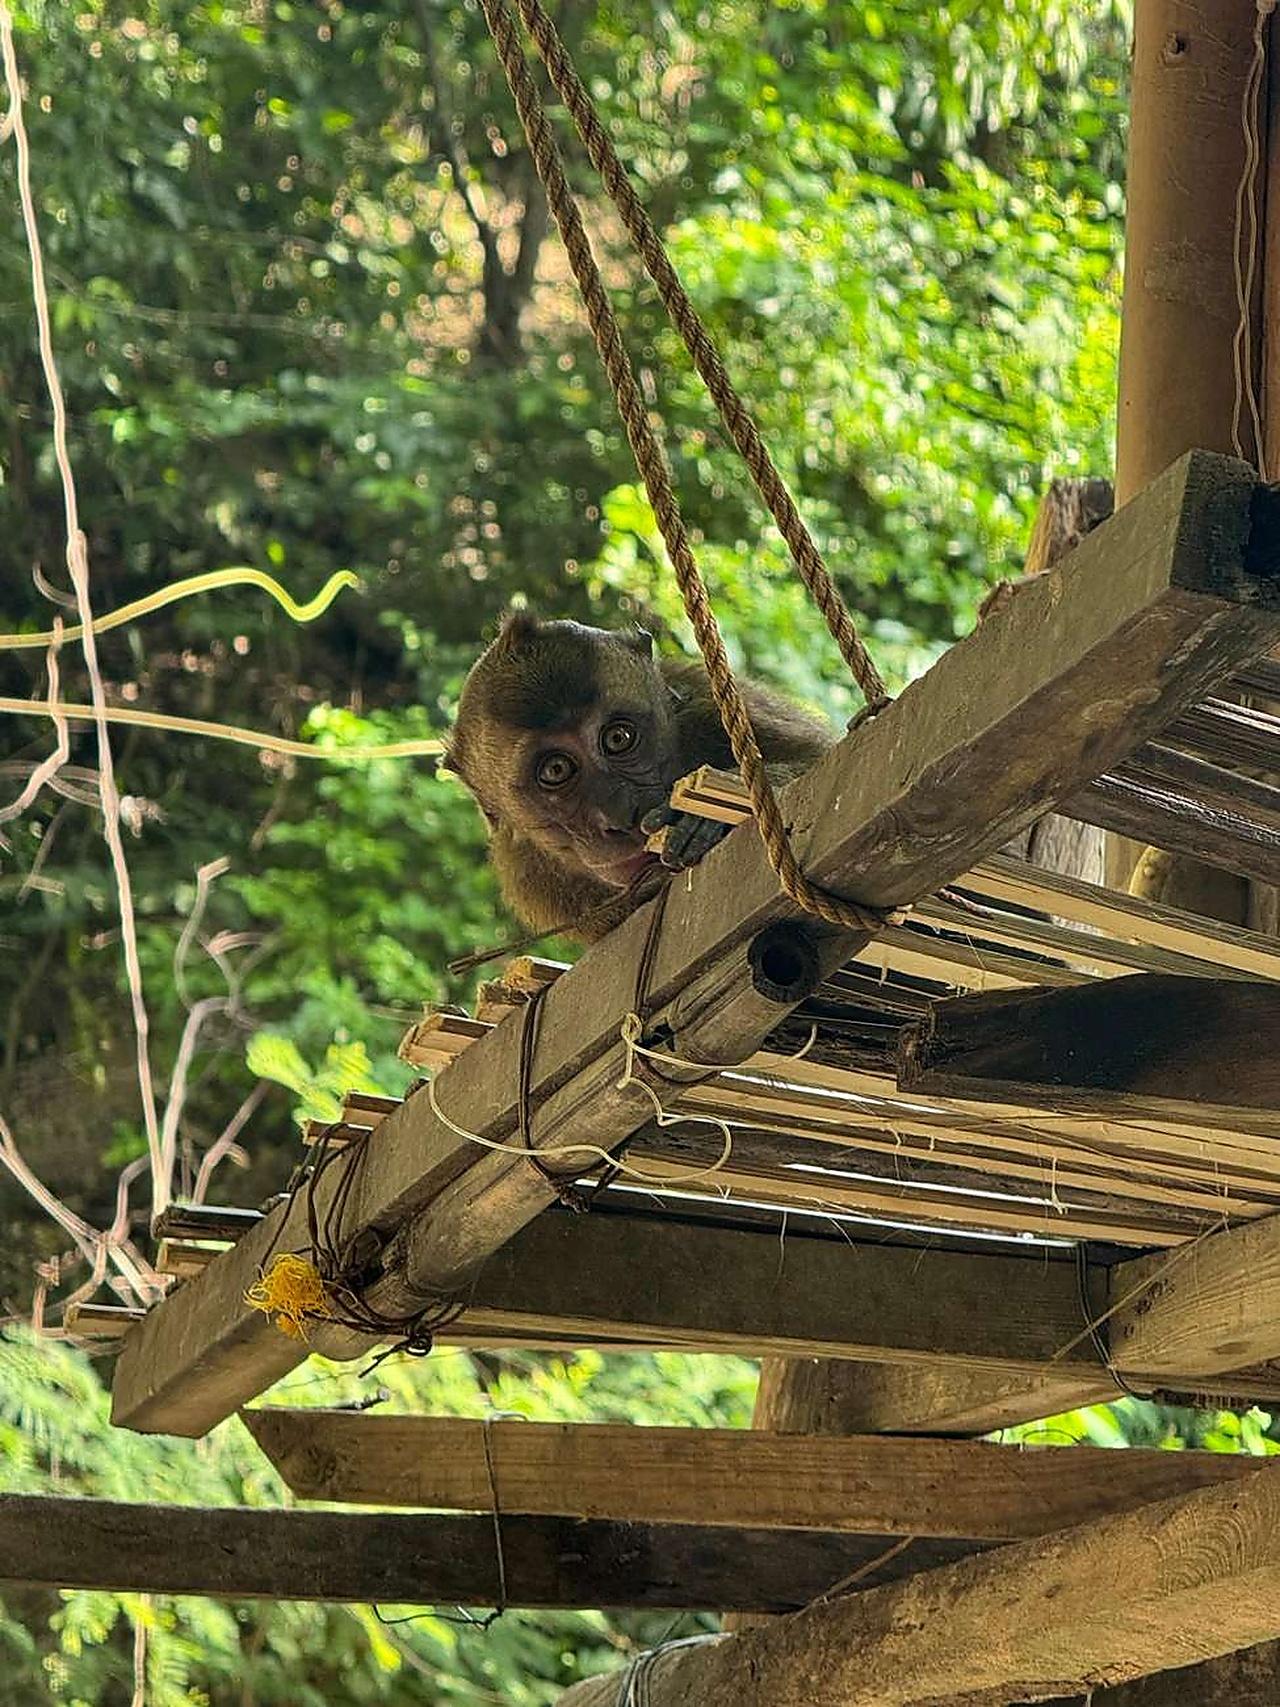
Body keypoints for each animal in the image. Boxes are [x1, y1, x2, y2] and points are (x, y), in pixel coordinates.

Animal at [447, 613, 834, 942]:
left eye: (618, 738)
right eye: (556, 770)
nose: (620, 815)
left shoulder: (707, 702)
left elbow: (818, 755)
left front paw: (702, 817)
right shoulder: (530, 876)